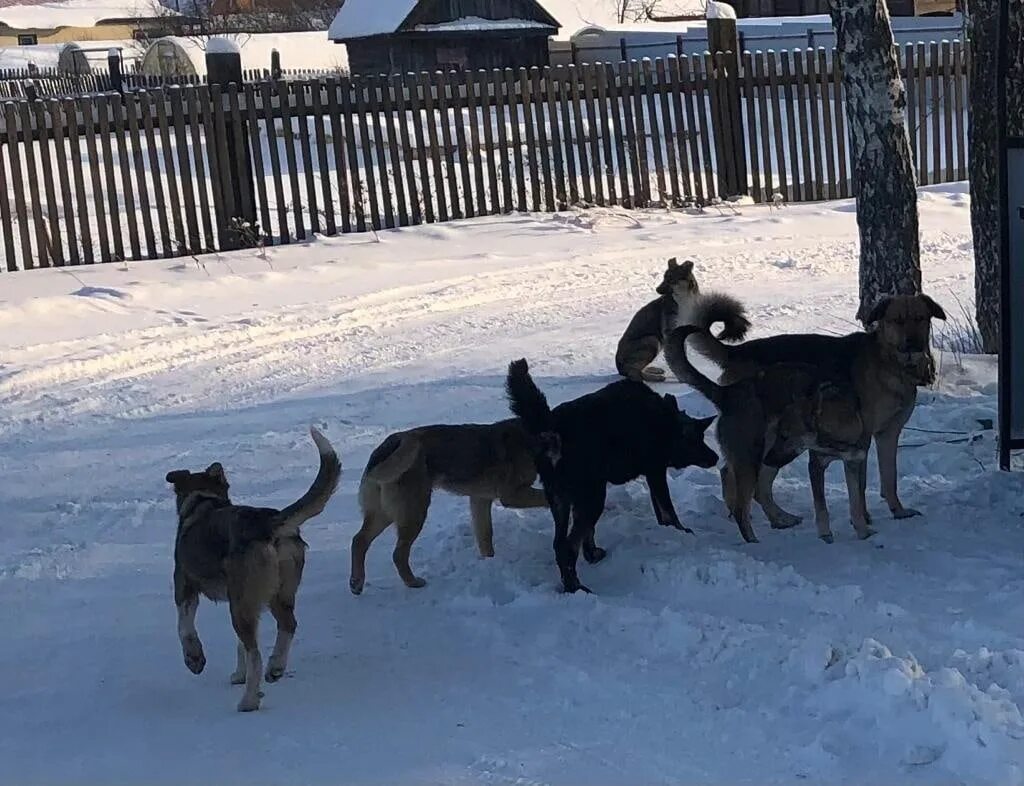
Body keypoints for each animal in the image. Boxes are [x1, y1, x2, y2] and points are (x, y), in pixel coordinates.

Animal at [164, 429, 339, 712]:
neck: (202, 501)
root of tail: (268, 523)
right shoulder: (242, 598)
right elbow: (239, 647)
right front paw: (238, 674)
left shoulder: (185, 587)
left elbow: (184, 628)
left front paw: (195, 660)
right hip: (274, 594)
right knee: (285, 626)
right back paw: (275, 668)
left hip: (243, 603)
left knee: (256, 652)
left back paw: (249, 700)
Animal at [348, 421, 548, 593]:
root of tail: (390, 443)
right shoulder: (511, 495)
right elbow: (544, 497)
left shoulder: (480, 500)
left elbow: (485, 537)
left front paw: (489, 563)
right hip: (415, 512)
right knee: (398, 554)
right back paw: (413, 583)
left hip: (385, 514)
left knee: (359, 540)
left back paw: (356, 583)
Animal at [505, 360, 716, 593]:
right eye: (696, 440)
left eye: (702, 437)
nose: (715, 457)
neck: (665, 424)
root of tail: (551, 431)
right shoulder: (656, 470)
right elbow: (669, 509)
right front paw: (682, 531)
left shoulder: (652, 473)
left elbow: (660, 511)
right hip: (593, 495)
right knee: (569, 546)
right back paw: (577, 587)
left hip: (562, 498)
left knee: (561, 543)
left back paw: (588, 561)